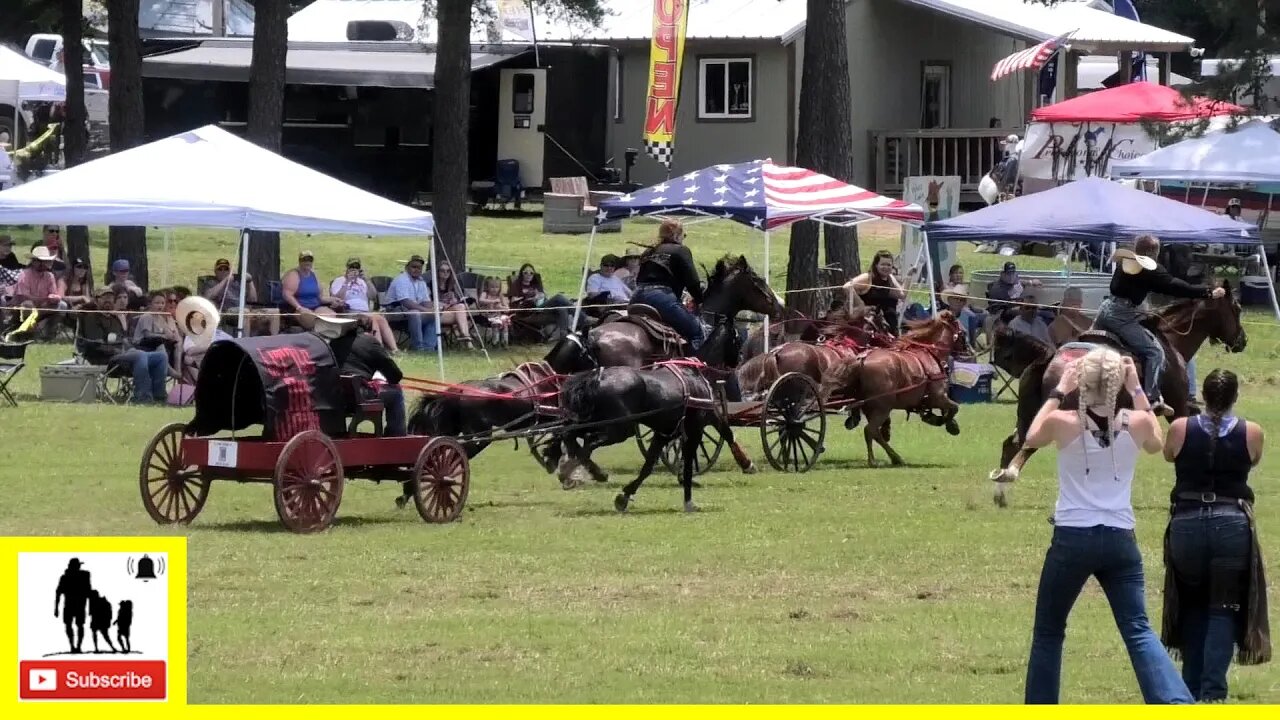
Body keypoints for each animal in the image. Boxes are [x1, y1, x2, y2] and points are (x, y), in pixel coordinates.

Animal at [824, 311, 962, 468]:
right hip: (882, 407)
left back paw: (894, 457)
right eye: (961, 331)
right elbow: (954, 408)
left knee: (875, 433)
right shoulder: (938, 397)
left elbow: (947, 410)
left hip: (870, 408)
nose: (966, 348)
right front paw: (946, 423)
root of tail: (861, 359)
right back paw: (876, 460)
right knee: (870, 430)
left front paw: (943, 421)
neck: (930, 354)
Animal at [988, 280, 1249, 504]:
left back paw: (1001, 491)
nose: (1242, 341)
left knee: (1012, 443)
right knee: (1026, 447)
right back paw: (1009, 477)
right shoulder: (1179, 408)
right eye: (1236, 308)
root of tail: (1053, 357)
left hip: (1030, 413)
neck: (1170, 340)